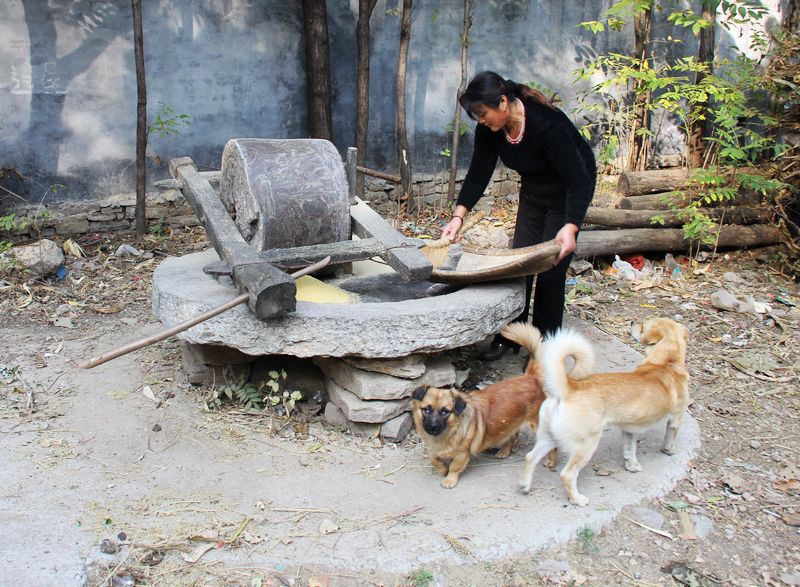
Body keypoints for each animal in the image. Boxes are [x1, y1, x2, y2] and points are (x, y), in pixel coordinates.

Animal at [412, 324, 556, 490]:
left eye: (445, 412)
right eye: (426, 409)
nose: (433, 426)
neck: (446, 434)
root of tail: (530, 377)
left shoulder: (462, 454)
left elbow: (454, 466)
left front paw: (450, 479)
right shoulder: (433, 450)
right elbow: (433, 459)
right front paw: (442, 469)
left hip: (537, 425)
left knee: (552, 444)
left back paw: (551, 462)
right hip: (511, 421)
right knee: (513, 435)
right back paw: (504, 451)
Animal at [510, 316, 692, 506]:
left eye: (643, 326)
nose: (632, 322)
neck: (666, 363)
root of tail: (569, 388)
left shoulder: (628, 429)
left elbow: (630, 449)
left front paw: (631, 466)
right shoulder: (676, 418)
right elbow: (669, 437)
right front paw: (668, 450)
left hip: (548, 436)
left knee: (530, 457)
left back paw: (525, 485)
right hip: (586, 445)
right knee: (567, 474)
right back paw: (577, 499)